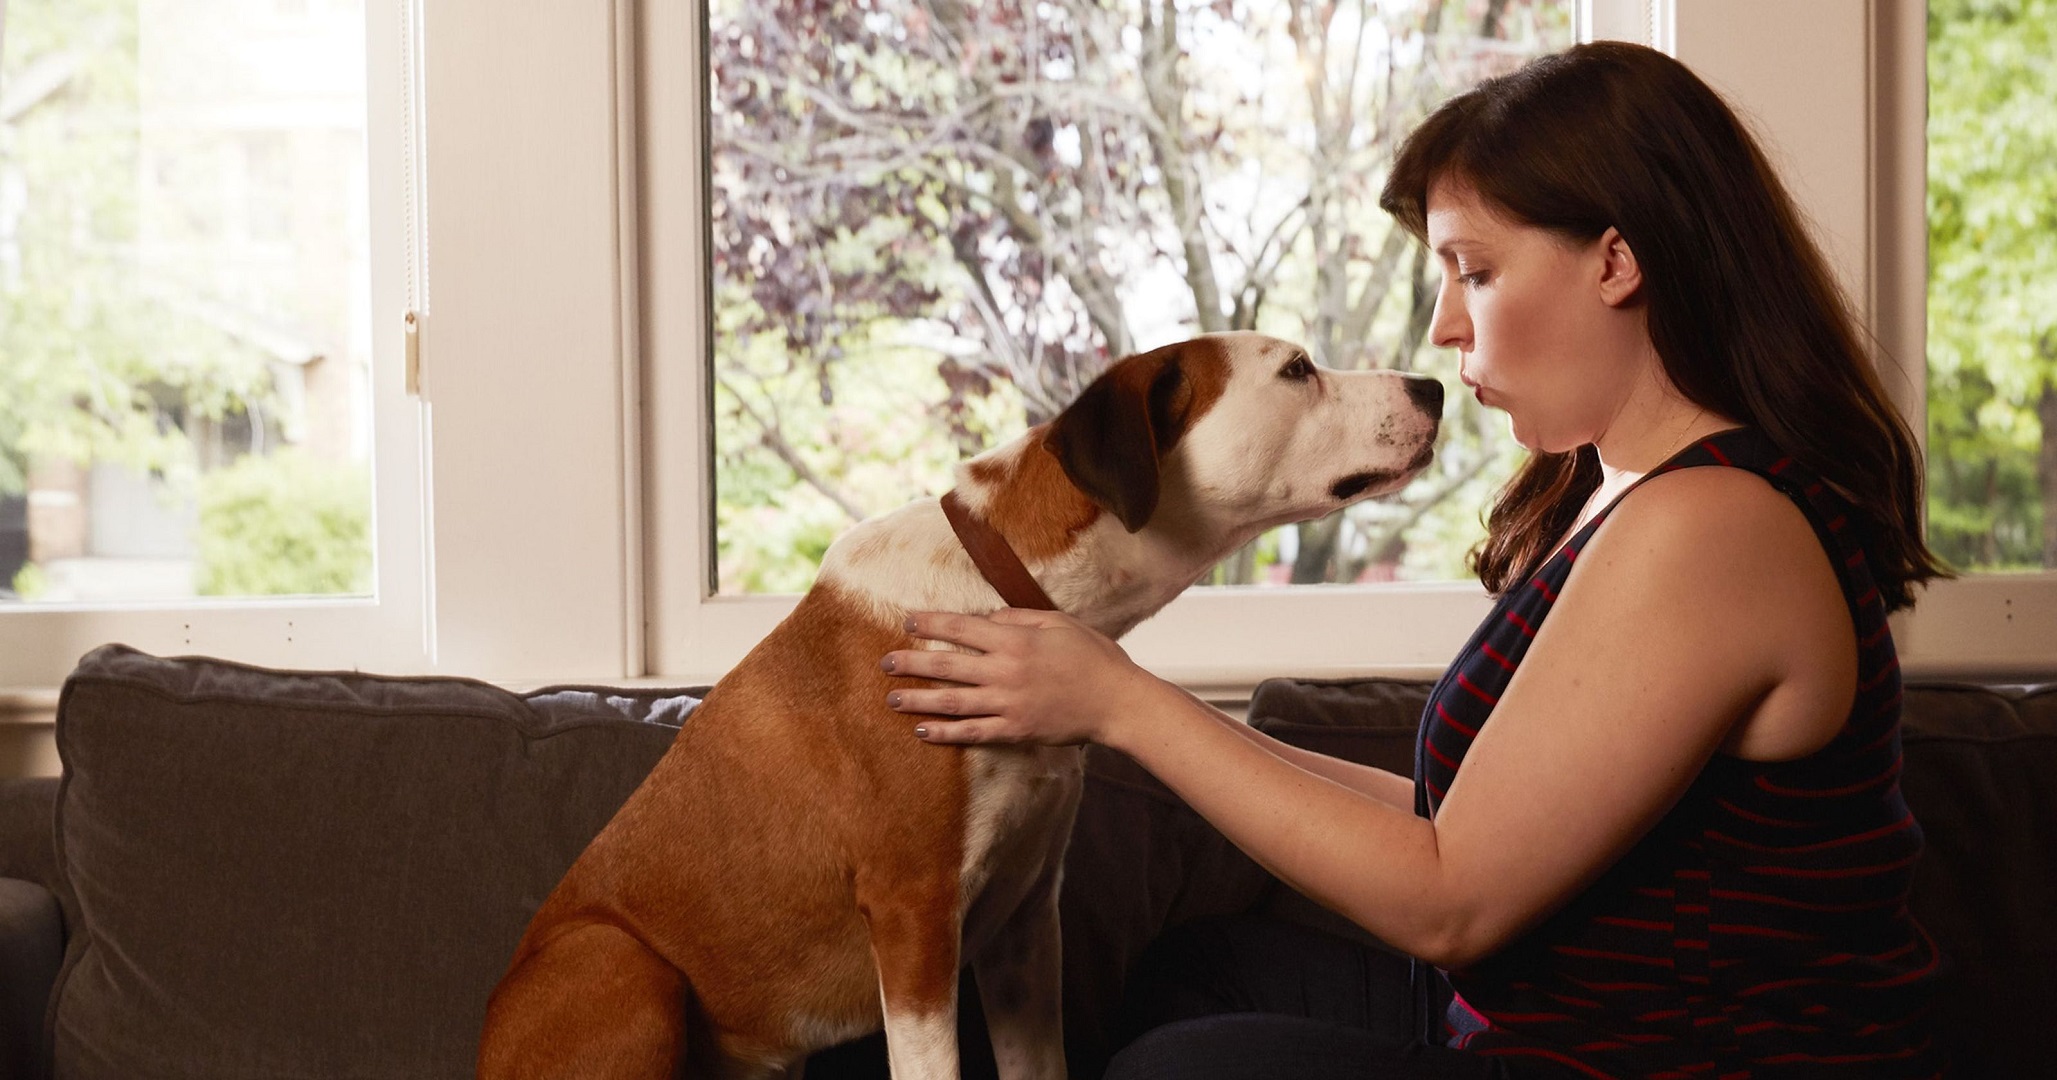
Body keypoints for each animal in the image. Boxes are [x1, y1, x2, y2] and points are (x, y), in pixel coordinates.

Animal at [481, 333, 1448, 1069]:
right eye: (1296, 370)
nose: (1434, 384)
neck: (1012, 588)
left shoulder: (1023, 927)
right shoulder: (915, 920)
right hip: (614, 962)